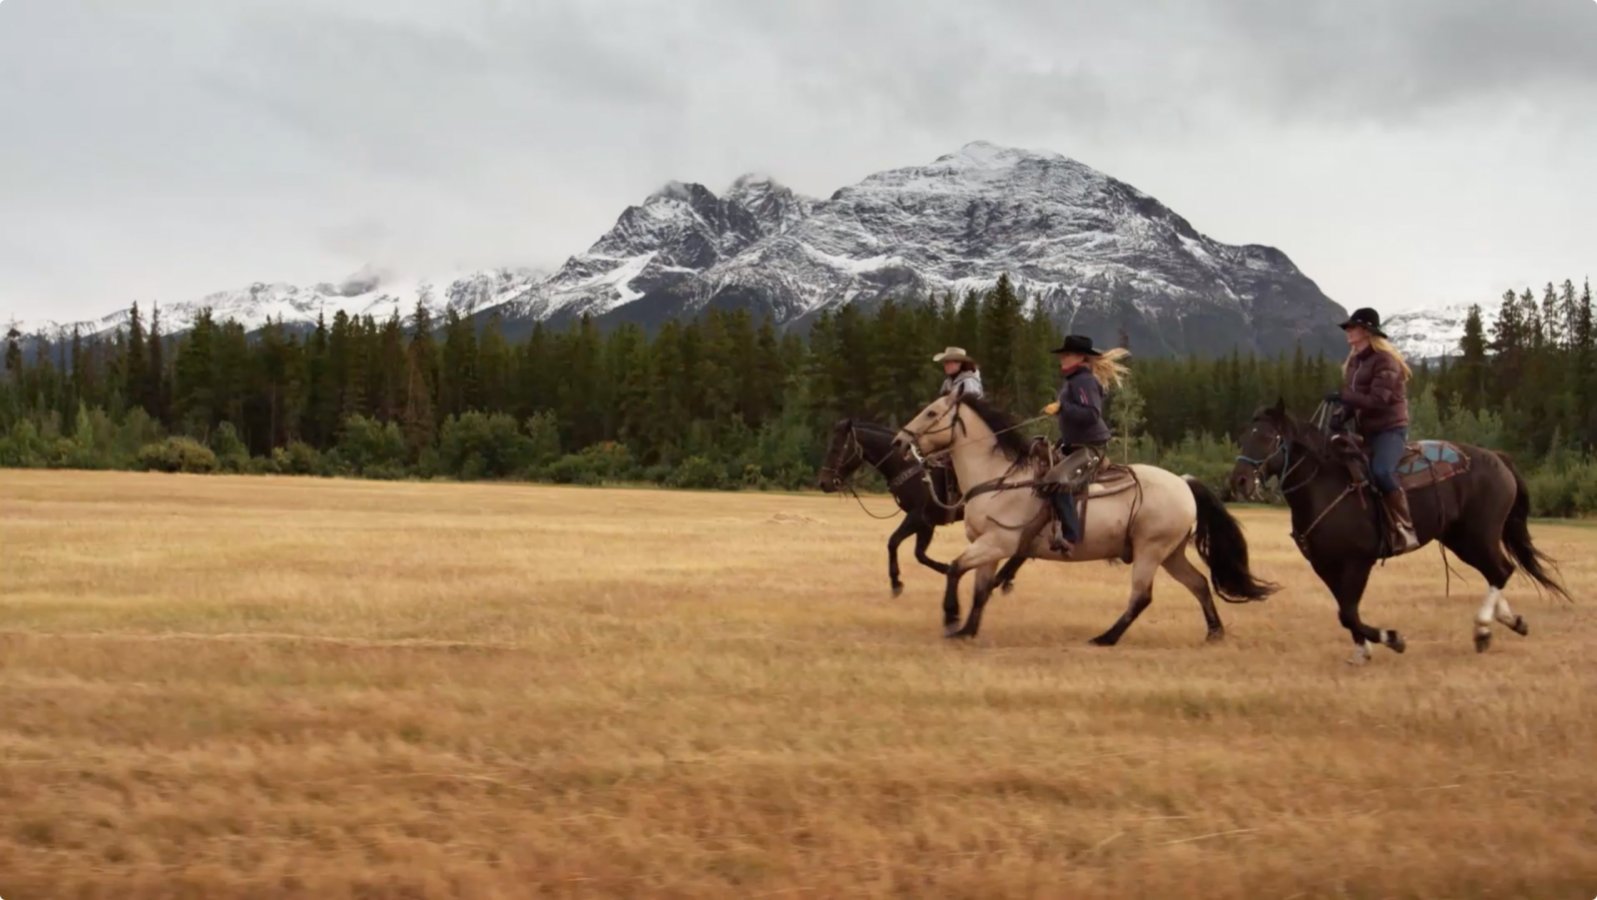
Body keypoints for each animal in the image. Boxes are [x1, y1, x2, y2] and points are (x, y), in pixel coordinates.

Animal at [817, 418, 1028, 596]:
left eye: (836, 449)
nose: (824, 483)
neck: (907, 467)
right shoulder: (927, 523)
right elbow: (919, 554)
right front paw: (944, 569)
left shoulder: (916, 517)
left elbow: (893, 541)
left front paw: (896, 582)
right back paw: (1005, 580)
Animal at [887, 397, 1271, 644]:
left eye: (932, 412)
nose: (899, 442)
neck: (998, 478)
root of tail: (1184, 482)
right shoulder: (989, 546)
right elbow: (980, 589)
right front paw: (967, 630)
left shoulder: (998, 542)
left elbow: (954, 569)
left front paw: (951, 617)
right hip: (1171, 553)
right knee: (1199, 584)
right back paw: (1214, 632)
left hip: (1150, 550)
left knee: (1142, 596)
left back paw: (1105, 638)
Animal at [1226, 398, 1565, 660]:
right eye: (1243, 436)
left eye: (1268, 437)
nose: (1240, 481)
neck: (1324, 484)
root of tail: (1498, 458)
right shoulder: (1325, 565)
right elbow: (1346, 611)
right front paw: (1363, 650)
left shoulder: (1358, 563)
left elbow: (1347, 612)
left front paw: (1392, 639)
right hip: (1460, 538)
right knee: (1496, 571)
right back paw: (1510, 621)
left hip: (1478, 536)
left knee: (1501, 570)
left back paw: (1482, 629)